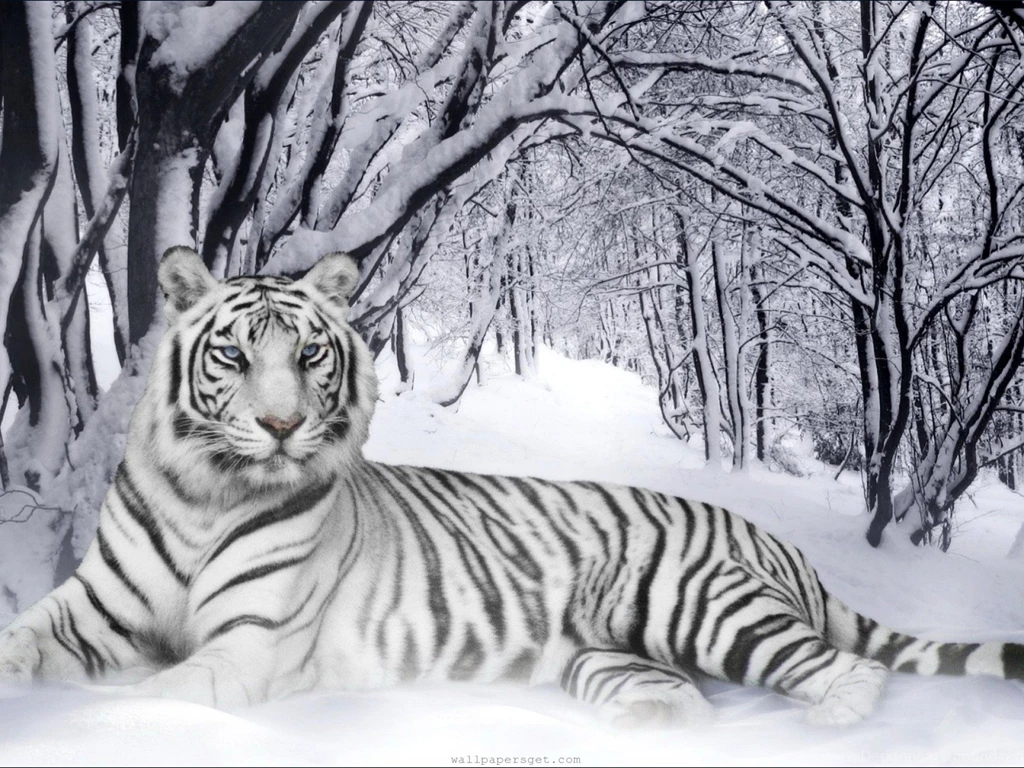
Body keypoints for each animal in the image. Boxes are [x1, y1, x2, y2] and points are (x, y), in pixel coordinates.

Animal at [1, 245, 1022, 728]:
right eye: (234, 356)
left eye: (310, 356)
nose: (284, 426)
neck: (205, 494)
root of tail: (779, 543)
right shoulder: (91, 608)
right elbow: (23, 643)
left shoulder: (247, 645)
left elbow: (152, 697)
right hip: (605, 654)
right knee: (683, 696)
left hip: (698, 604)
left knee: (847, 671)